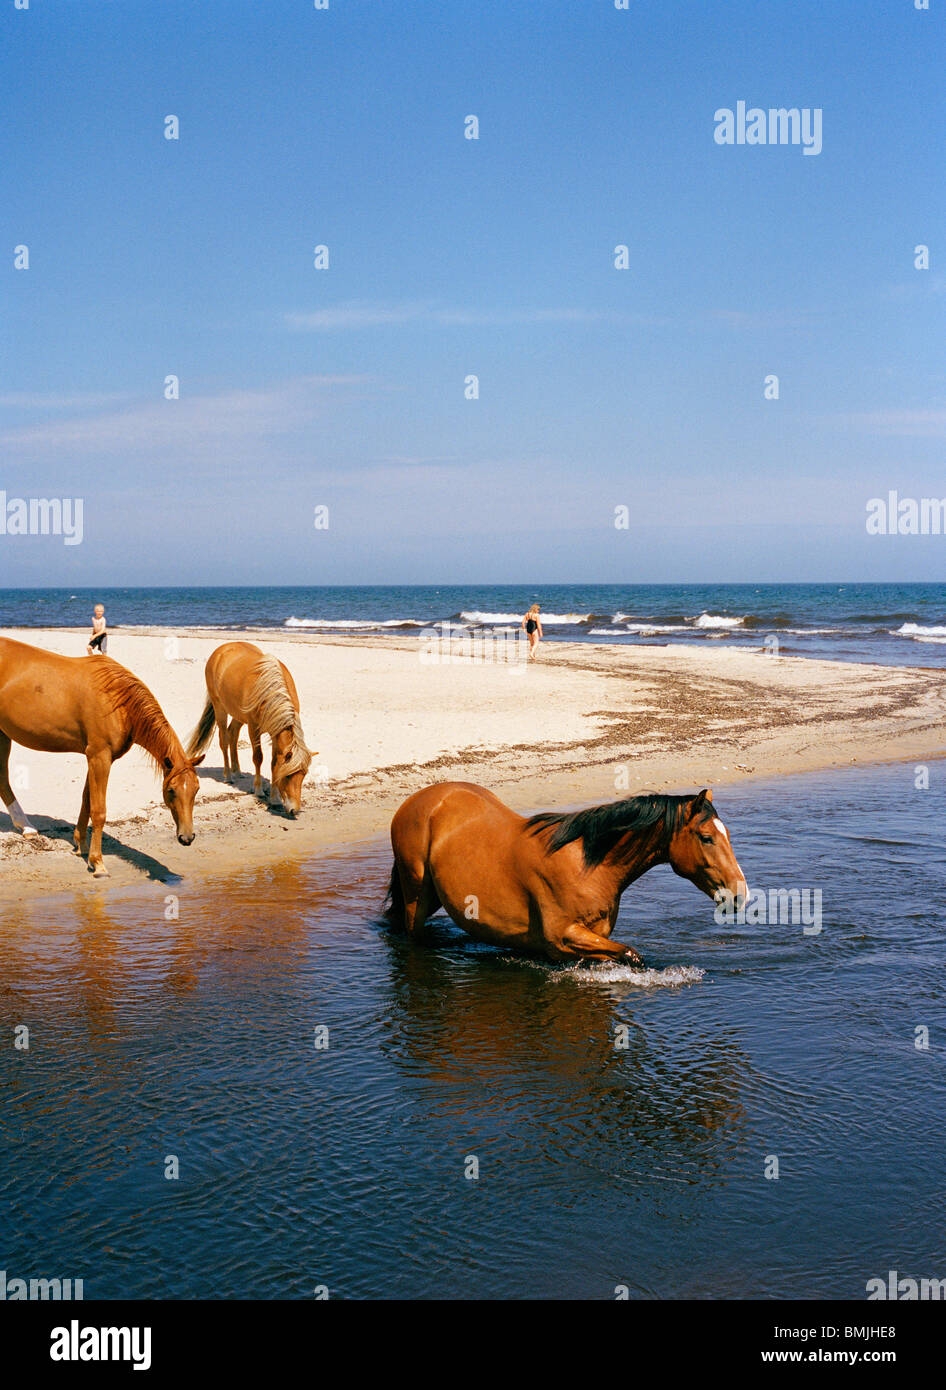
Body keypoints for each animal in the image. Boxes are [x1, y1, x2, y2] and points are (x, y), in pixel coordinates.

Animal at [0, 636, 202, 872]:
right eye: (171, 790)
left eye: (196, 789)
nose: (187, 837)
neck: (118, 701)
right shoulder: (99, 756)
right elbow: (98, 810)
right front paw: (97, 862)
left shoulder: (98, 757)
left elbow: (86, 801)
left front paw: (81, 845)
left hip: (3, 733)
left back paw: (26, 827)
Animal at [186, 639, 311, 811]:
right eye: (288, 776)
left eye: (304, 775)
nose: (294, 809)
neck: (270, 691)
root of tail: (221, 650)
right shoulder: (254, 728)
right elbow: (258, 758)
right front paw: (258, 790)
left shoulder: (276, 732)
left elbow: (274, 763)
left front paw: (275, 798)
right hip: (220, 709)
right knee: (224, 739)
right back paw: (228, 775)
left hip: (238, 715)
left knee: (233, 734)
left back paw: (237, 770)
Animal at [380, 783, 744, 967]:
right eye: (706, 837)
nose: (740, 894)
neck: (589, 866)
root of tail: (420, 800)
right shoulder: (564, 937)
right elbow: (632, 955)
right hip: (416, 893)